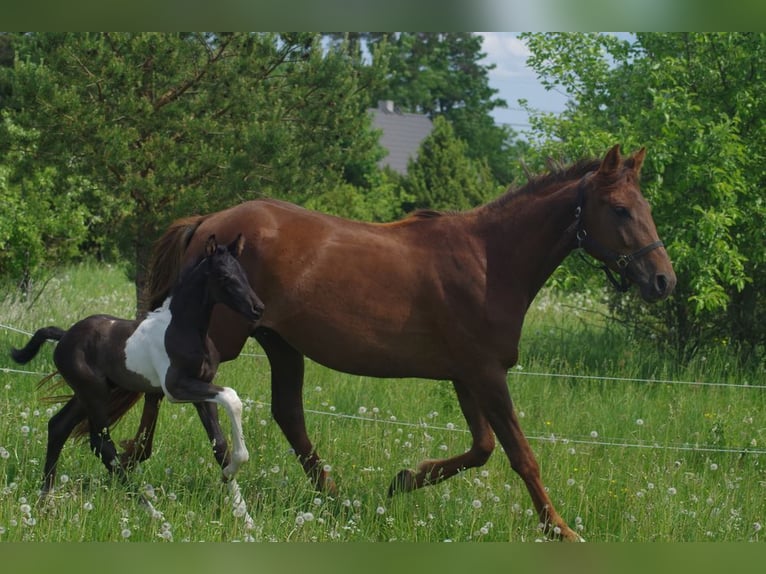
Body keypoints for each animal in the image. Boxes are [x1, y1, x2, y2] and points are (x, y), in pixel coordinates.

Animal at [11, 234, 264, 520]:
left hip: (90, 393)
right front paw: (235, 474)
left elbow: (219, 445)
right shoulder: (176, 388)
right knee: (101, 443)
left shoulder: (203, 388)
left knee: (58, 426)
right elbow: (232, 397)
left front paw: (244, 514)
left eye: (243, 273)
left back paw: (47, 501)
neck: (184, 329)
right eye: (224, 276)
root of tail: (64, 336)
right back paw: (151, 510)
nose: (258, 308)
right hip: (94, 394)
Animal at [127, 144, 680, 540]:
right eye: (620, 209)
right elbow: (521, 455)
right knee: (169, 383)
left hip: (280, 343)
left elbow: (482, 448)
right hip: (223, 337)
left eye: (646, 206)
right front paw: (560, 530)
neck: (490, 260)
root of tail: (206, 222)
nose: (663, 281)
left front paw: (403, 481)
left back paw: (336, 499)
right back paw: (137, 456)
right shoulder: (485, 373)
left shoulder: (466, 374)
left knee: (289, 416)